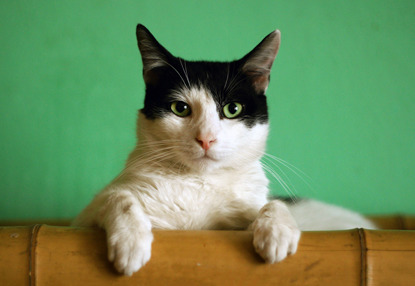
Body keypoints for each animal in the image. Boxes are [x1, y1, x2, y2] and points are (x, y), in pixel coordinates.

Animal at [72, 25, 376, 278]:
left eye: (233, 109)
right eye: (179, 108)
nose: (206, 139)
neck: (199, 184)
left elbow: (271, 204)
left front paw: (276, 231)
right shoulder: (83, 218)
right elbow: (119, 197)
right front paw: (131, 242)